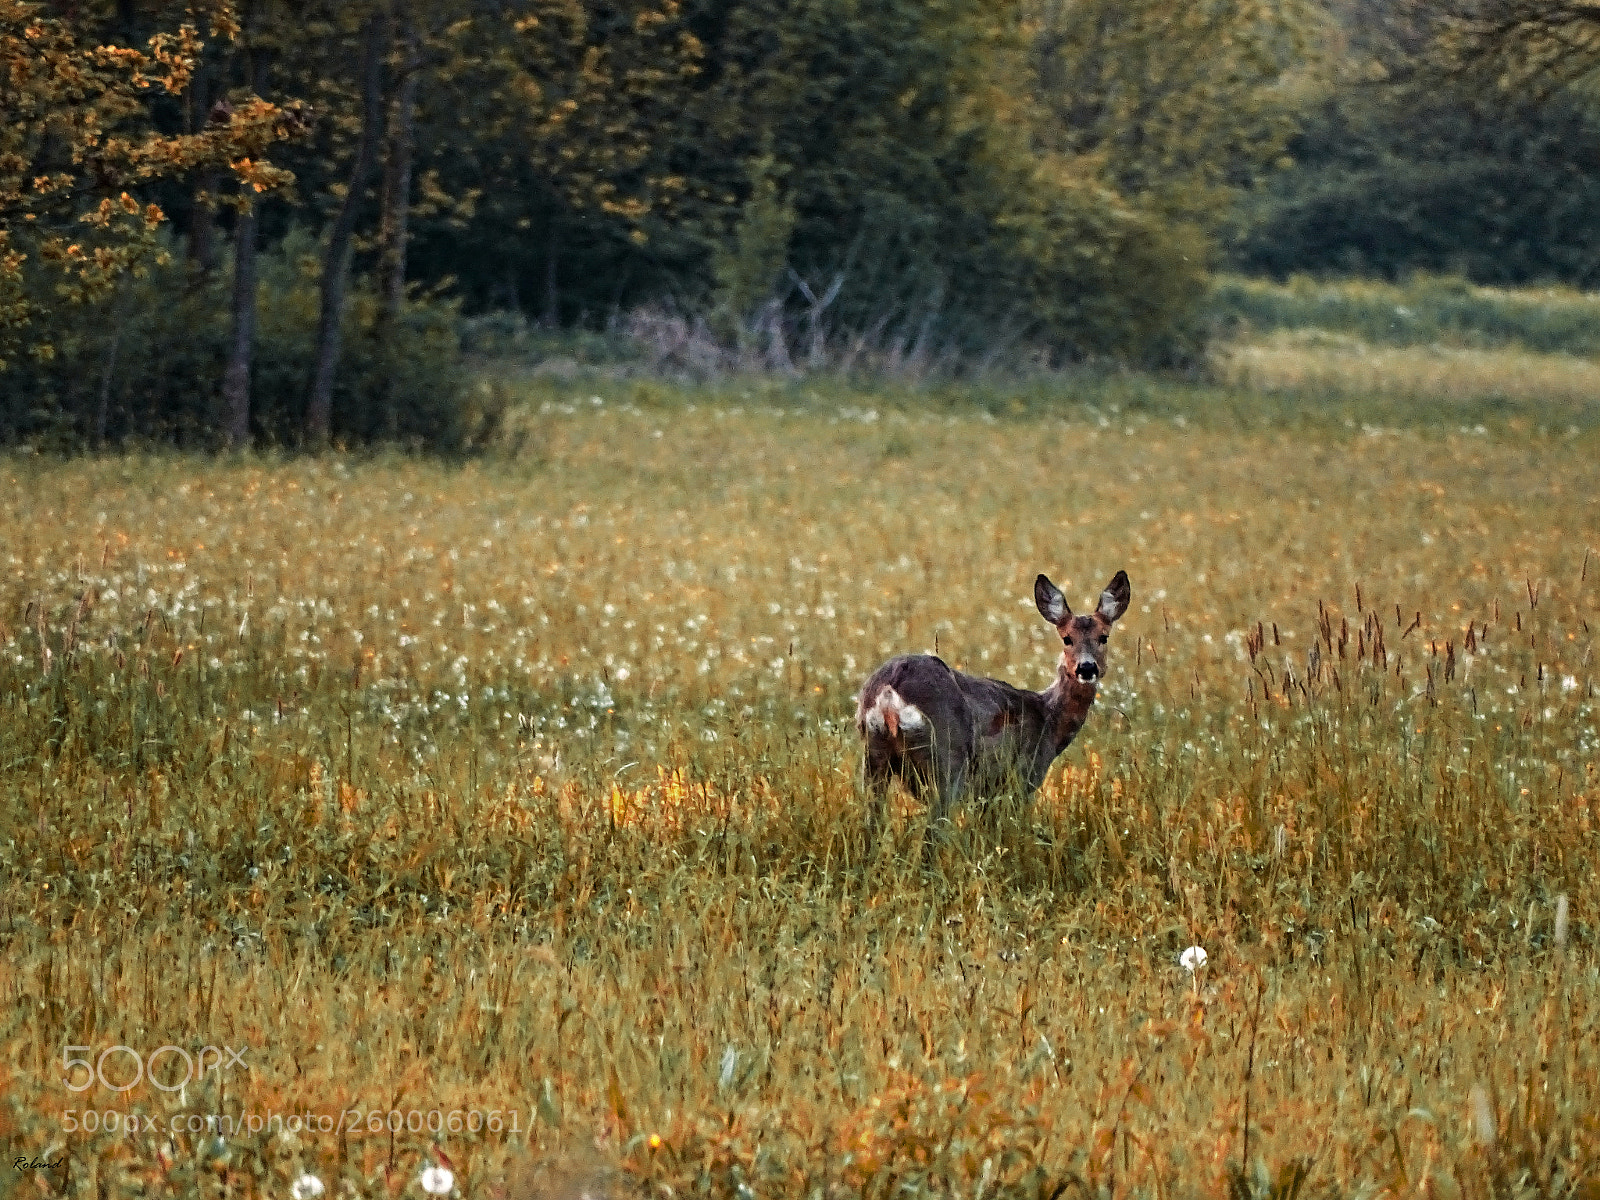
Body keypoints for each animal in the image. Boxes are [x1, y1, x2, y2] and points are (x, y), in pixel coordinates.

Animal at [856, 569, 1130, 845]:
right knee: (932, 831)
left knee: (871, 823)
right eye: (1067, 638)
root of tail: (891, 688)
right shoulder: (1021, 777)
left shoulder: (987, 792)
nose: (1087, 668)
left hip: (874, 755)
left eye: (1103, 637)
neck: (1049, 721)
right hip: (947, 757)